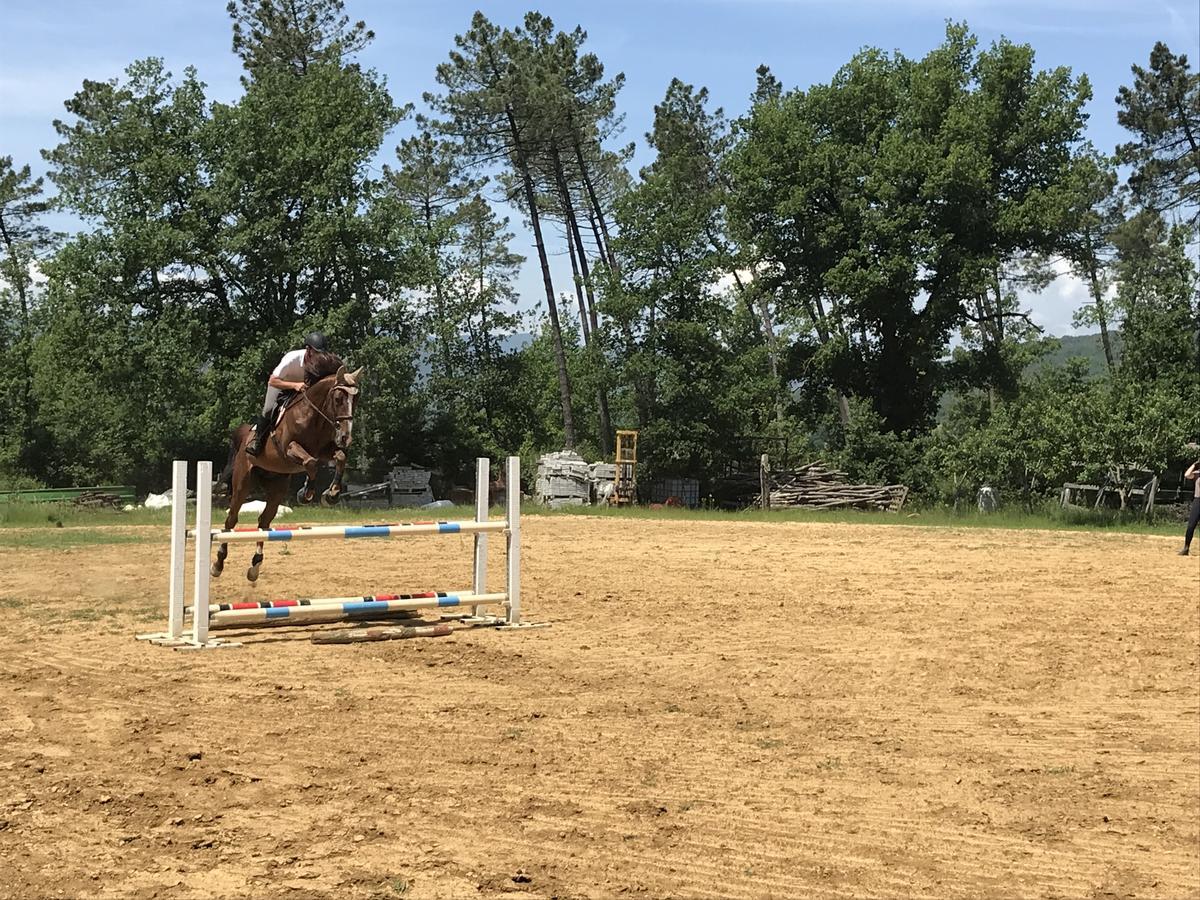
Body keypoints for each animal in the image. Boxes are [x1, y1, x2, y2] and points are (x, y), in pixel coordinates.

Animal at [214, 352, 364, 585]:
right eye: (339, 399)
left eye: (355, 400)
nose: (345, 438)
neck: (313, 415)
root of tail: (244, 436)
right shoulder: (289, 449)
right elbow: (310, 463)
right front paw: (307, 493)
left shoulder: (324, 451)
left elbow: (338, 457)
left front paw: (330, 494)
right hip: (242, 483)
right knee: (232, 519)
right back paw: (218, 564)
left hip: (277, 486)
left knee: (264, 521)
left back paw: (255, 566)